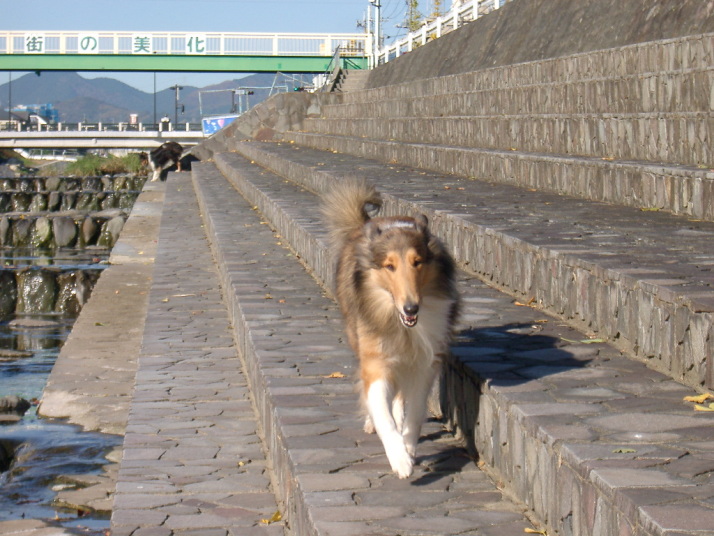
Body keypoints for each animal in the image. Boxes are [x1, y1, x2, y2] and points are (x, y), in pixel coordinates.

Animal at [322, 179, 459, 478]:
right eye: (389, 266)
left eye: (417, 262)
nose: (411, 309)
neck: (401, 325)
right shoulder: (376, 362)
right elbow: (381, 411)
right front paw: (399, 459)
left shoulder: (424, 363)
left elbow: (415, 412)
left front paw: (408, 447)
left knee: (399, 396)